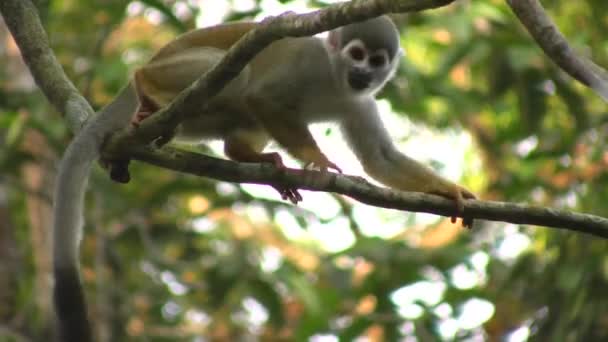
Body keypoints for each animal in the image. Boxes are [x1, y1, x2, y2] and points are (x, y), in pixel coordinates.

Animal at [52, 15, 476, 340]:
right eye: (356, 54)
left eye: (376, 60)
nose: (364, 72)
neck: (335, 78)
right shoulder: (307, 60)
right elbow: (264, 97)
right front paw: (317, 160)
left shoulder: (360, 101)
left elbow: (379, 160)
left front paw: (448, 190)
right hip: (179, 68)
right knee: (239, 81)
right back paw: (148, 87)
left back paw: (243, 154)